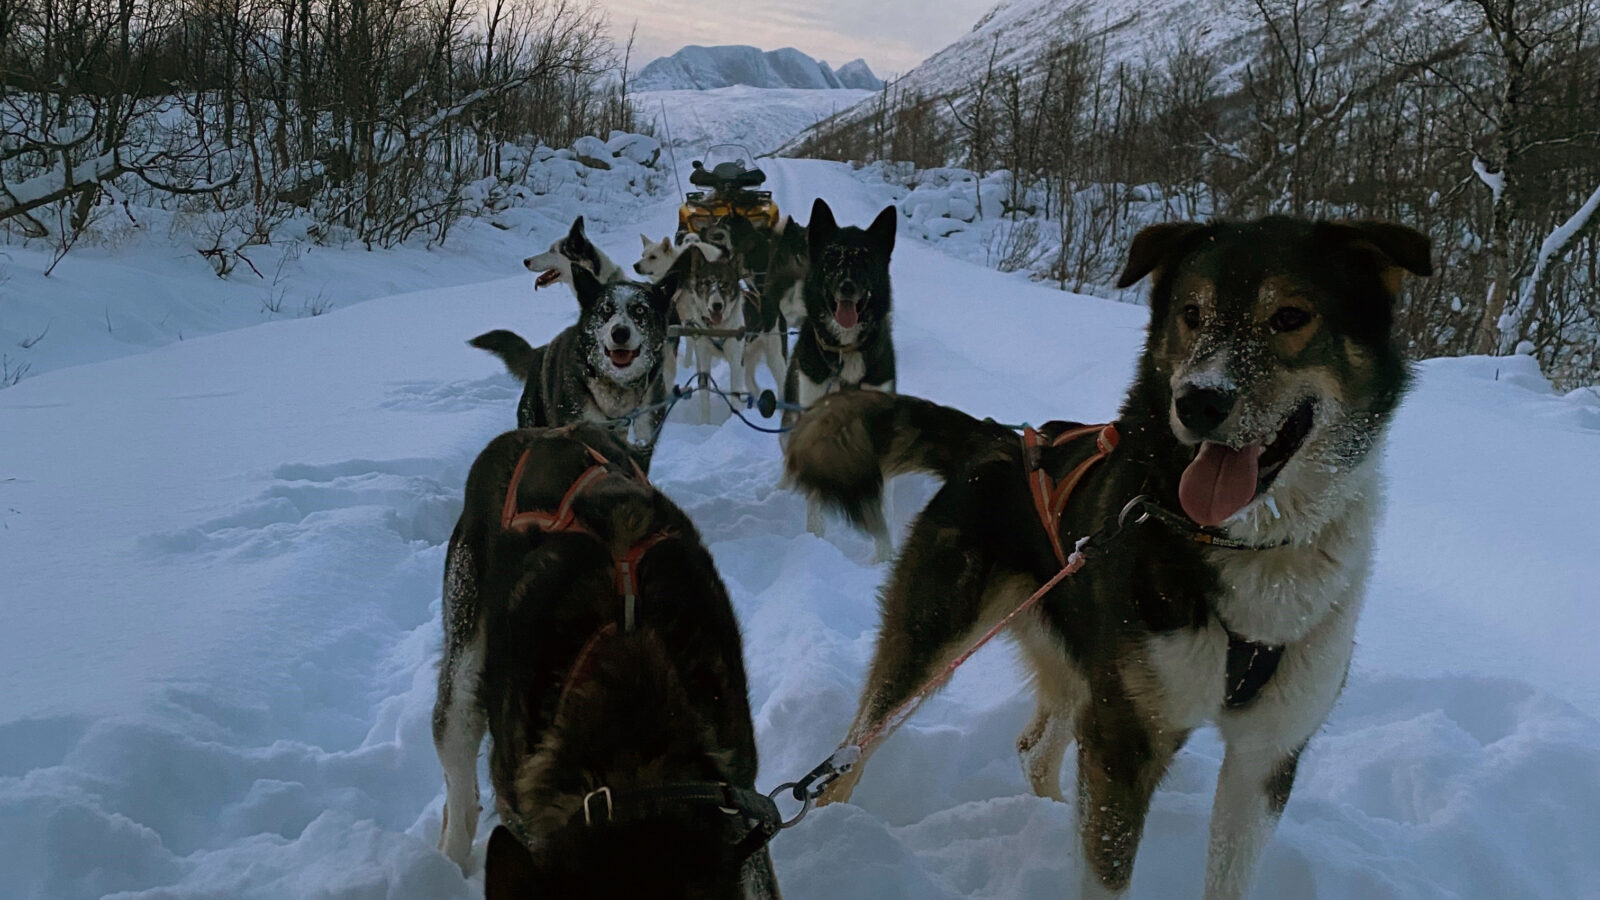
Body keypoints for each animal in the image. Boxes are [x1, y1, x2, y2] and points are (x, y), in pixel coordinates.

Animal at [784, 199, 902, 557]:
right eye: (831, 257)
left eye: (865, 259)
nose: (847, 286)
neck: (847, 352)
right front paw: (816, 541)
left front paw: (884, 555)